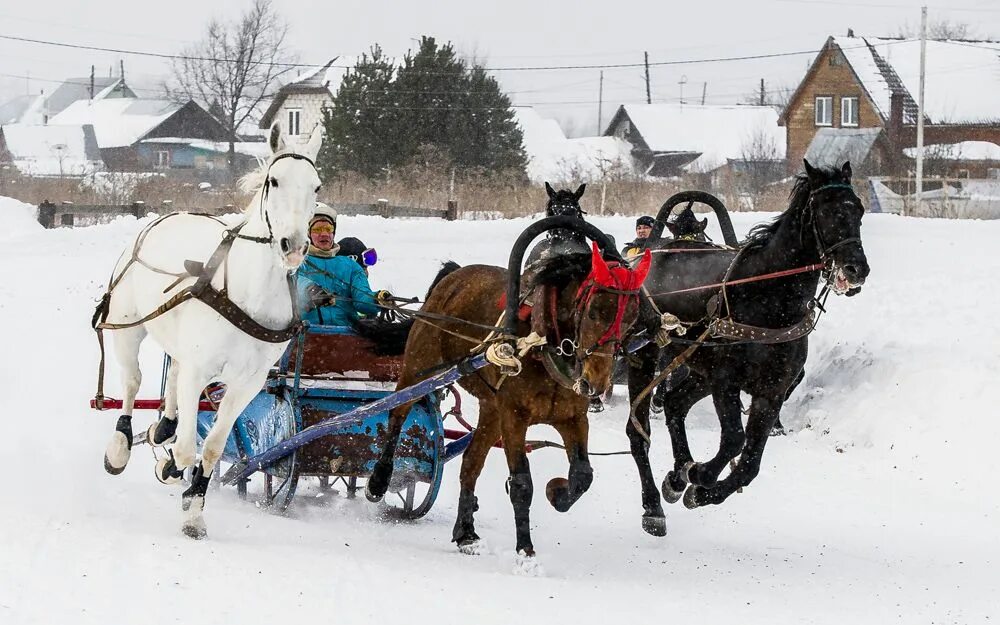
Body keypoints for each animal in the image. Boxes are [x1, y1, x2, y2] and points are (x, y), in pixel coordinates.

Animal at [100, 120, 322, 536]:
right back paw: (120, 447)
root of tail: (167, 216)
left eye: (316, 186)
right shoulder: (200, 368)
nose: (294, 245)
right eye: (275, 181)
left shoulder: (247, 383)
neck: (249, 292)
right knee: (133, 382)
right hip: (126, 327)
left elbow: (213, 446)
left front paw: (193, 504)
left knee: (171, 383)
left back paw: (162, 431)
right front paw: (180, 480)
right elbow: (189, 447)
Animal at [364, 244, 652, 556]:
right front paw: (525, 549)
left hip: (491, 409)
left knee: (471, 462)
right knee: (398, 412)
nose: (595, 384)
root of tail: (454, 276)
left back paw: (465, 531)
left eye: (631, 318)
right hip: (420, 365)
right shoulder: (514, 416)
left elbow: (582, 475)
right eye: (594, 313)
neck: (542, 341)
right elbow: (522, 484)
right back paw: (379, 480)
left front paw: (557, 491)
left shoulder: (572, 418)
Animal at [628, 158, 872, 532]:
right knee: (638, 431)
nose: (856, 268)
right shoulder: (726, 382)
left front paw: (699, 487)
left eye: (857, 209)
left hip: (698, 369)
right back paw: (653, 505)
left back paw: (678, 474)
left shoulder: (771, 391)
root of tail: (652, 255)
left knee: (674, 403)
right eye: (825, 210)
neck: (767, 297)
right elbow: (733, 440)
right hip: (647, 357)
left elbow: (749, 465)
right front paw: (701, 475)